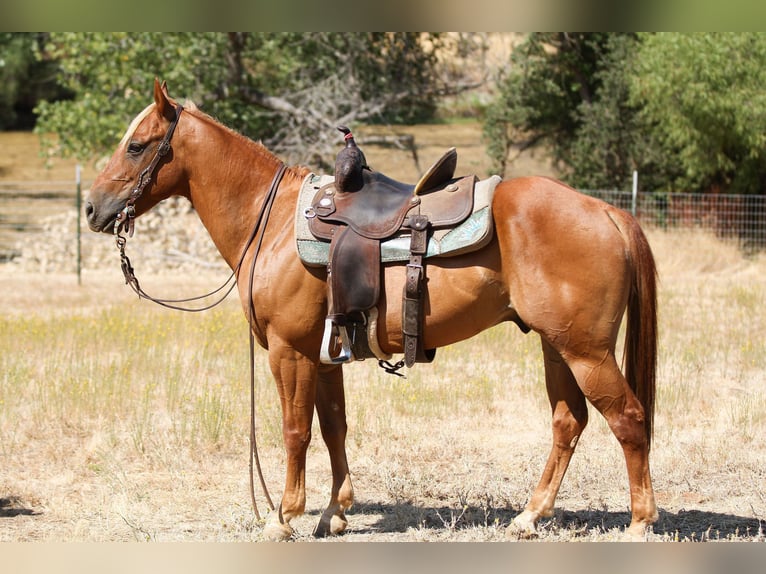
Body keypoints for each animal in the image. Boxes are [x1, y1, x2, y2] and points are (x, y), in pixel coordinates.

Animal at [84, 79, 660, 544]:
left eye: (136, 146)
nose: (91, 208)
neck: (273, 224)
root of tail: (607, 211)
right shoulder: (324, 354)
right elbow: (334, 426)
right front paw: (335, 513)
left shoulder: (290, 351)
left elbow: (296, 430)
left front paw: (284, 516)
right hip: (556, 345)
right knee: (568, 421)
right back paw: (529, 516)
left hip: (586, 351)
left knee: (628, 419)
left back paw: (639, 523)